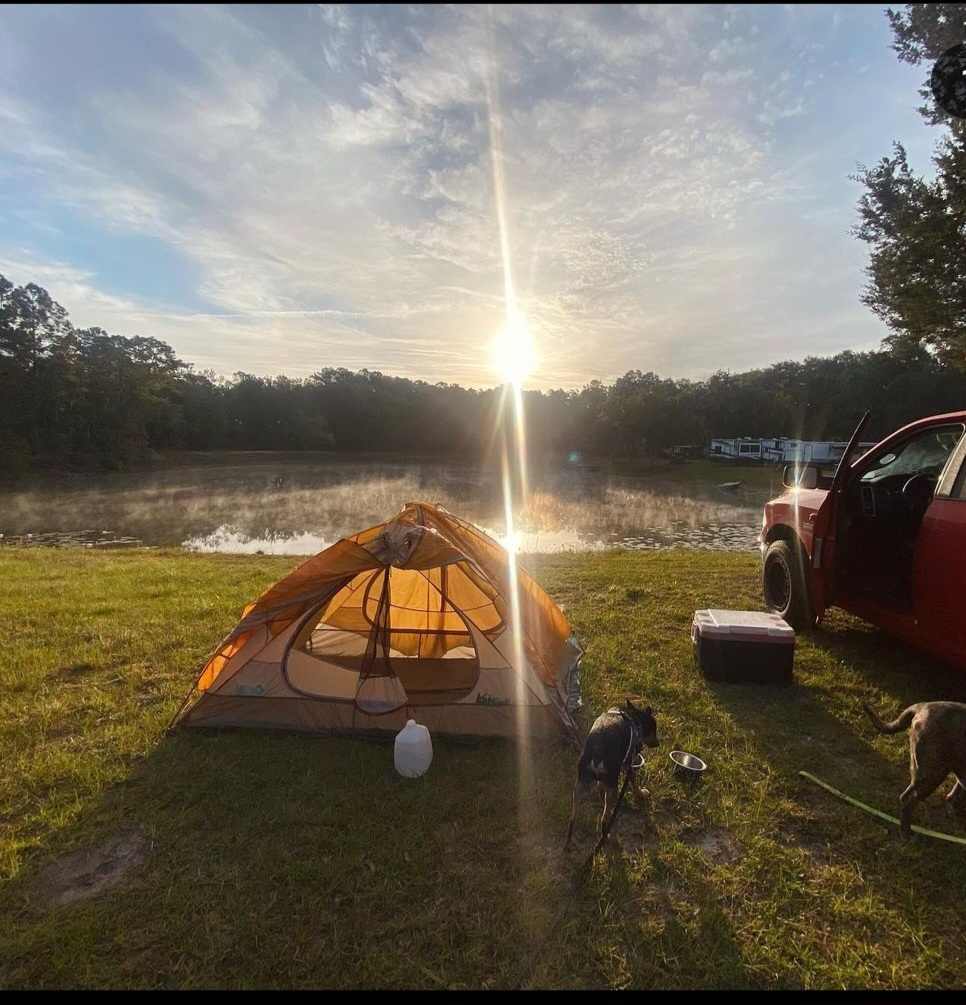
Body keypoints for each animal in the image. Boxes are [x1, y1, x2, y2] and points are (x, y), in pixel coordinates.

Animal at [566, 699, 655, 848]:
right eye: (654, 729)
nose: (658, 743)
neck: (633, 718)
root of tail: (597, 753)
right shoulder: (628, 765)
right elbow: (635, 783)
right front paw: (641, 794)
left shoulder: (603, 782)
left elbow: (600, 790)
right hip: (613, 787)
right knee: (604, 818)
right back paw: (609, 837)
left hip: (579, 786)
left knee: (573, 816)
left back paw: (569, 842)